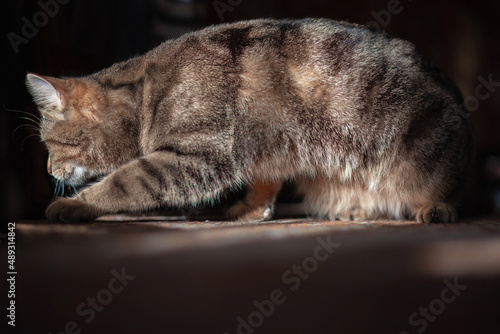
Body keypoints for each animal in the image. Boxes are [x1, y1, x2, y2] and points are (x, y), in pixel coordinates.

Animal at [26, 17, 472, 222]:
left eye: (51, 144)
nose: (47, 169)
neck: (145, 91)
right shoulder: (265, 150)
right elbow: (263, 186)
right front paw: (250, 210)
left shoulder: (198, 155)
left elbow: (124, 180)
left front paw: (77, 204)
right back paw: (357, 208)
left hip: (426, 156)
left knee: (447, 190)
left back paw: (433, 206)